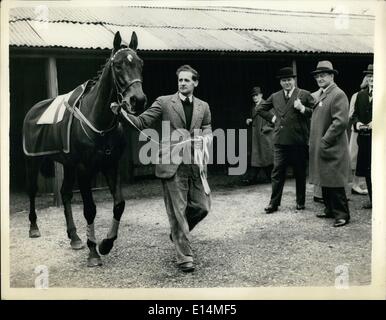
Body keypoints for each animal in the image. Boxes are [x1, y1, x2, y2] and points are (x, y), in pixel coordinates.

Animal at [22, 31, 147, 268]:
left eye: (140, 63)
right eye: (118, 65)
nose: (138, 100)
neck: (98, 120)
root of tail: (32, 110)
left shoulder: (110, 166)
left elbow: (119, 204)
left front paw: (105, 244)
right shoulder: (84, 169)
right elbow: (90, 209)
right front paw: (93, 252)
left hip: (68, 165)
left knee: (65, 194)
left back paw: (74, 237)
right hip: (34, 161)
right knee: (32, 191)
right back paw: (34, 228)